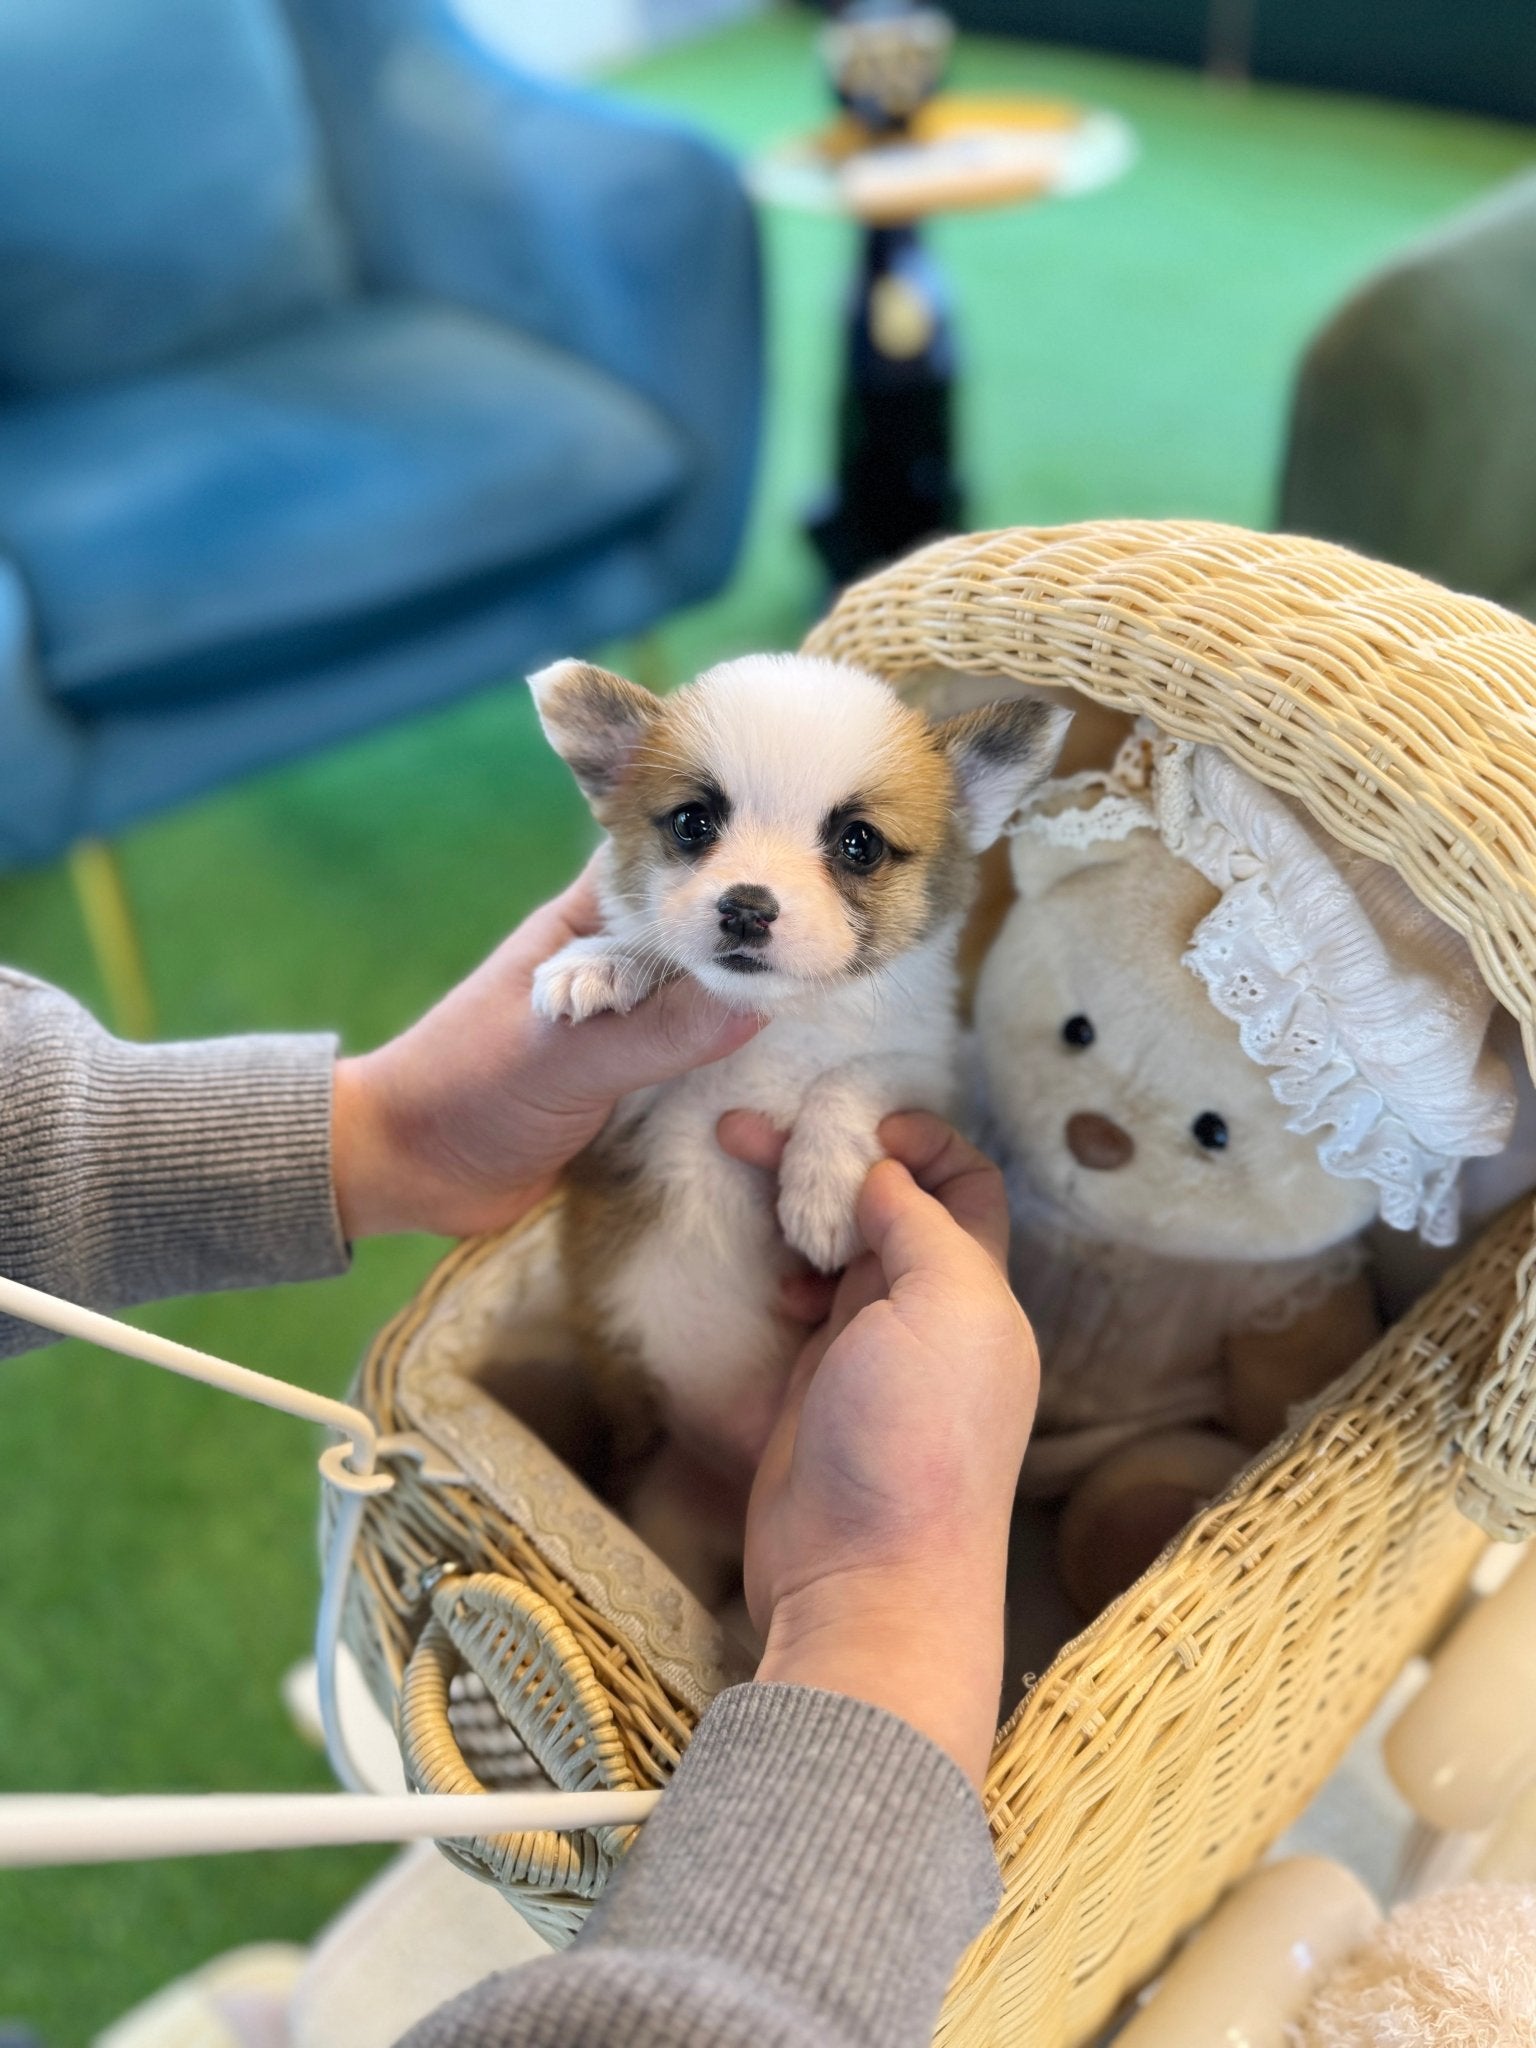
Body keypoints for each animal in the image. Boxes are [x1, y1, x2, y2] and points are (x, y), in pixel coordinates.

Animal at [528, 647, 1073, 1589]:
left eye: (857, 843)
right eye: (692, 824)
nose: (746, 905)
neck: (778, 1023)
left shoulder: (926, 1070)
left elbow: (848, 1084)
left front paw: (822, 1192)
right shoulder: (616, 1110)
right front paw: (604, 960)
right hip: (667, 1512)